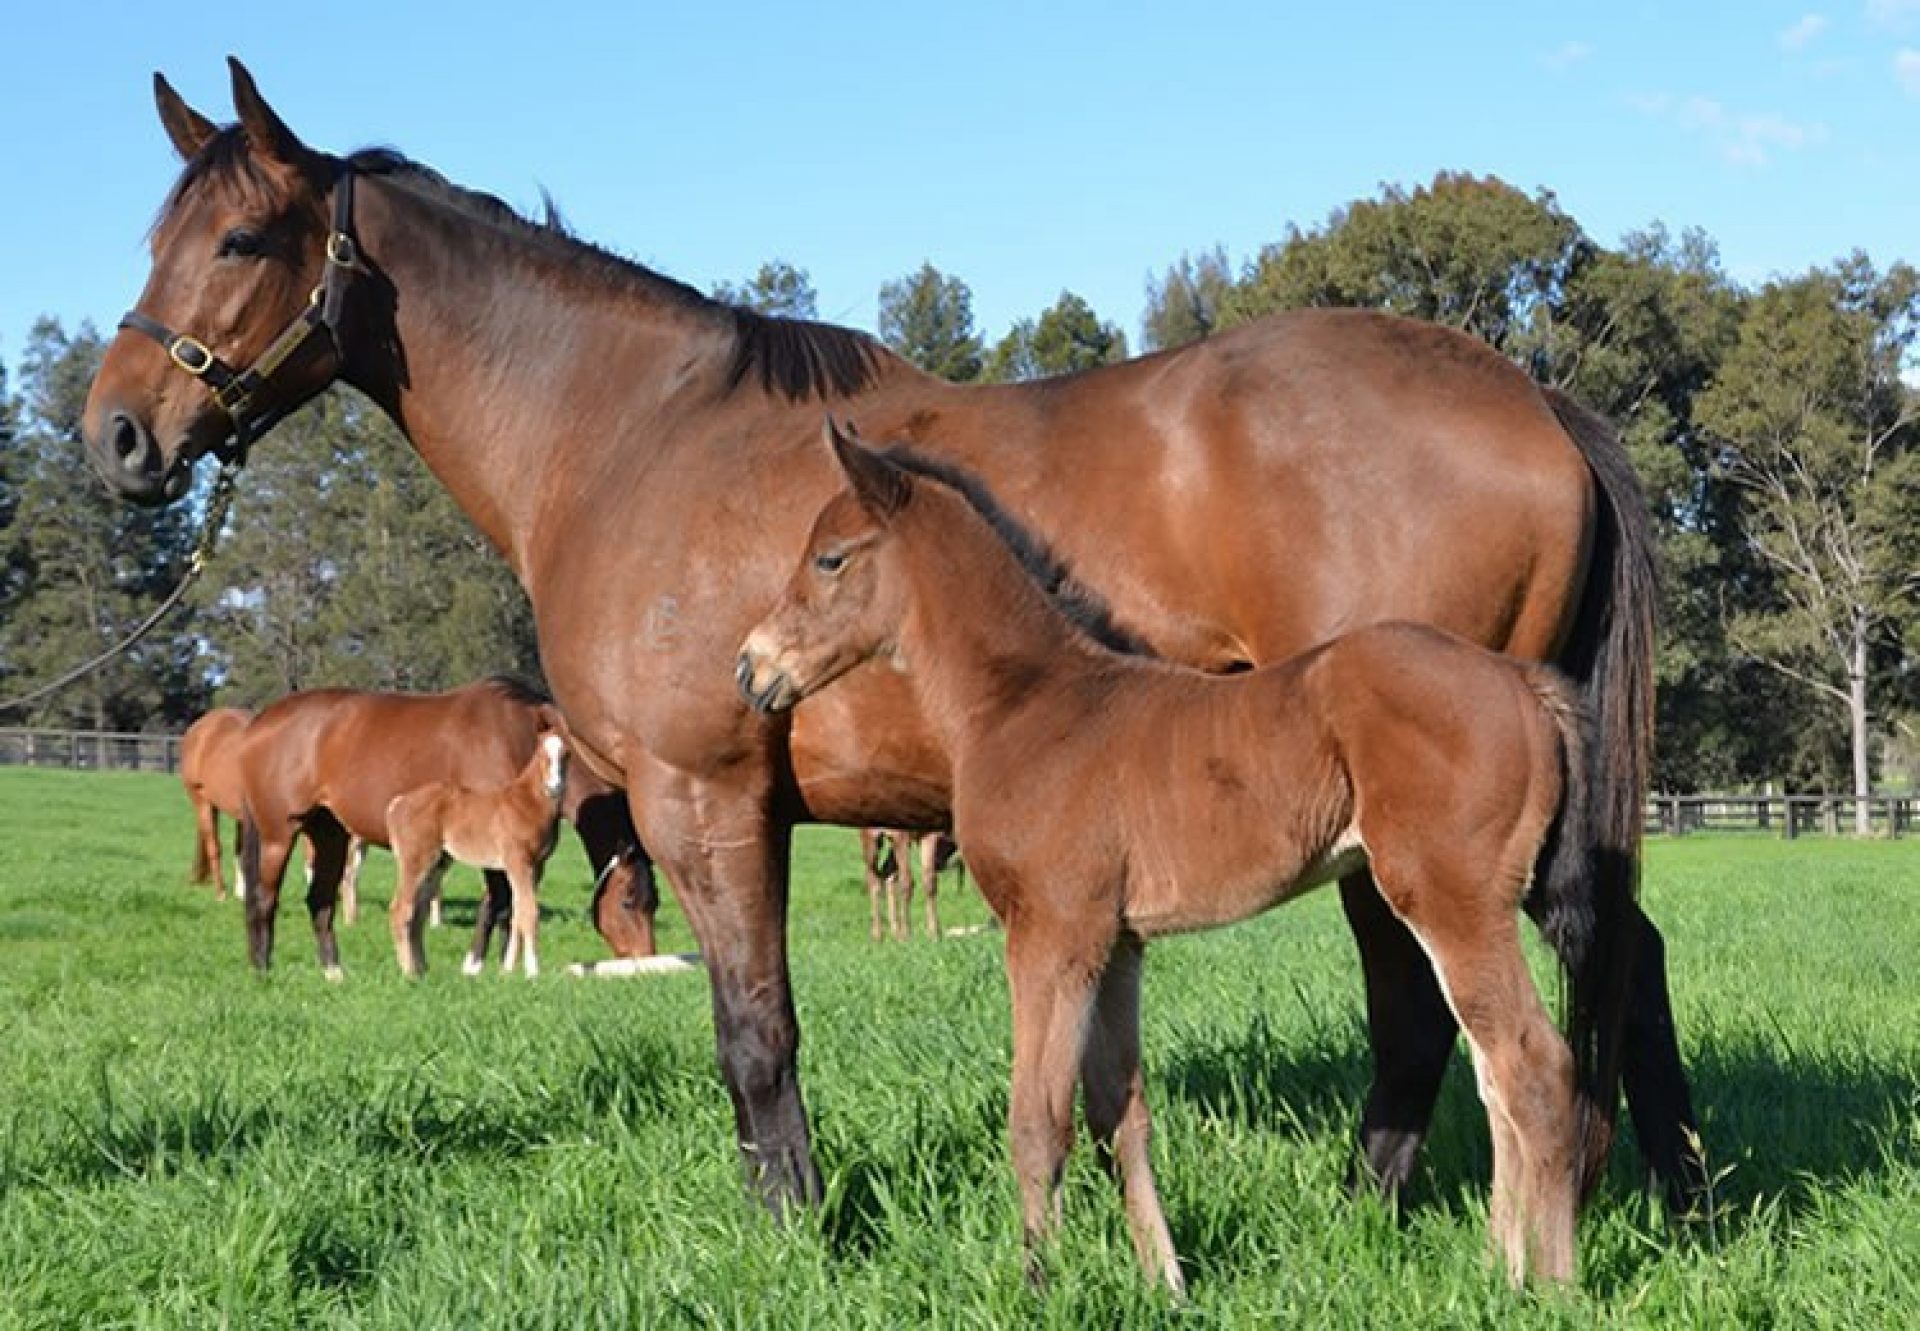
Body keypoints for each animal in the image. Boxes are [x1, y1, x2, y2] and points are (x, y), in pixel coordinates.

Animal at [387, 726, 568, 975]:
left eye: (567, 755)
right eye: (542, 754)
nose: (555, 787)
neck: (527, 802)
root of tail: (398, 802)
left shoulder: (536, 867)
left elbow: (517, 914)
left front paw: (507, 971)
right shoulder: (518, 863)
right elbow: (530, 912)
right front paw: (533, 972)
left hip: (438, 863)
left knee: (418, 913)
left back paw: (423, 969)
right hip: (416, 860)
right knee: (401, 910)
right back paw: (410, 973)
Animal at [741, 422, 1612, 1290]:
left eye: (830, 558)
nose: (752, 668)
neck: (1025, 702)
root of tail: (1524, 683)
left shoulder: (1049, 935)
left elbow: (1037, 1117)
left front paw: (1039, 1282)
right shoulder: (1117, 943)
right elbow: (1119, 1113)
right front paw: (1167, 1283)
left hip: (1451, 899)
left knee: (1536, 1066)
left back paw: (1552, 1285)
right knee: (1496, 1072)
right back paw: (1499, 1268)